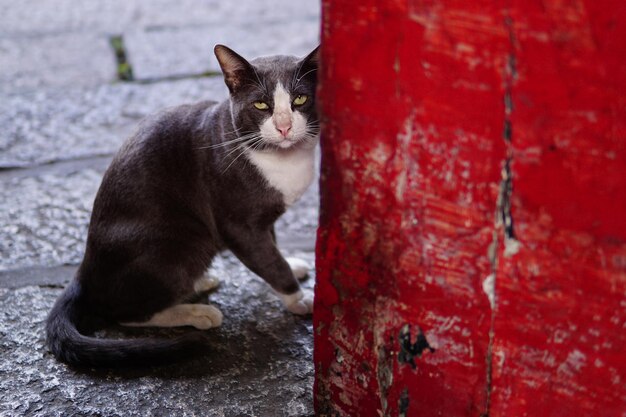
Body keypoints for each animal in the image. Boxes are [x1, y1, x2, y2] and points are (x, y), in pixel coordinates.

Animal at [45, 44, 316, 366]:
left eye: (300, 99)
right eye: (261, 105)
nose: (284, 127)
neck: (282, 161)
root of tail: (83, 273)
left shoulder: (264, 220)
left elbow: (271, 249)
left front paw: (293, 265)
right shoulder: (238, 224)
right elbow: (270, 262)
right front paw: (300, 298)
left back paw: (200, 283)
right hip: (182, 240)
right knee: (124, 312)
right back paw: (198, 312)